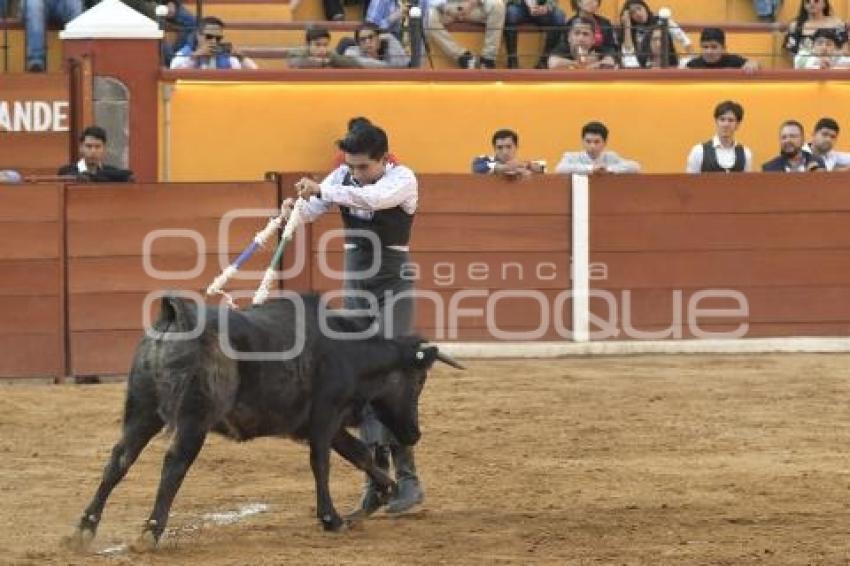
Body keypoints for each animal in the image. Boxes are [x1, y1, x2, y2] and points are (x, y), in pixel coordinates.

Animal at [66, 296, 464, 552]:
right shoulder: (325, 417)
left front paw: (383, 492)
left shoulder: (328, 424)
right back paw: (150, 532)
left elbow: (360, 455)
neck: (350, 351)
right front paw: (332, 518)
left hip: (142, 411)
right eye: (419, 380)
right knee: (174, 464)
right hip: (194, 419)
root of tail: (177, 315)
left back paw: (84, 530)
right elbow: (322, 464)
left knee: (118, 460)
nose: (414, 433)